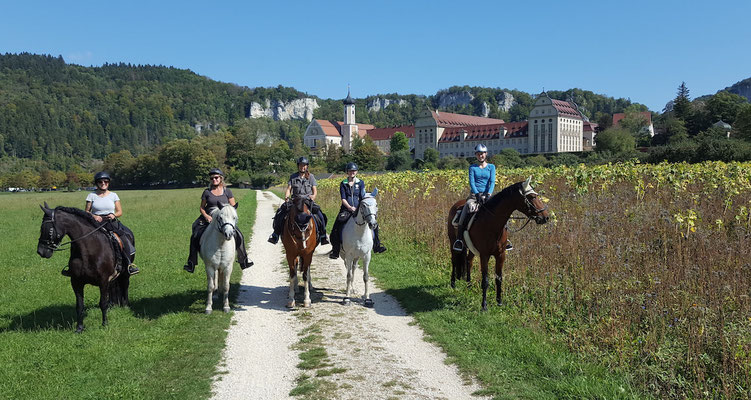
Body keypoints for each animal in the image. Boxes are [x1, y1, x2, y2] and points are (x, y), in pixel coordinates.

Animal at [36, 203, 131, 332]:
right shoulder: (76, 282)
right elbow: (80, 305)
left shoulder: (103, 281)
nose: (40, 251)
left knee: (125, 286)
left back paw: (125, 305)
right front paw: (79, 328)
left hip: (125, 273)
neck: (89, 250)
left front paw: (104, 324)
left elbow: (102, 303)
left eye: (47, 229)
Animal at [450, 177, 548, 310]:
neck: (492, 223)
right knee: (454, 261)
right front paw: (484, 305)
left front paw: (499, 301)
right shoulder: (484, 255)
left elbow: (499, 278)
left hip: (471, 248)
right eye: (532, 197)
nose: (545, 217)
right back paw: (453, 283)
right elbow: (485, 280)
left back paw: (469, 284)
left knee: (468, 261)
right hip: (452, 242)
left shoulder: (501, 255)